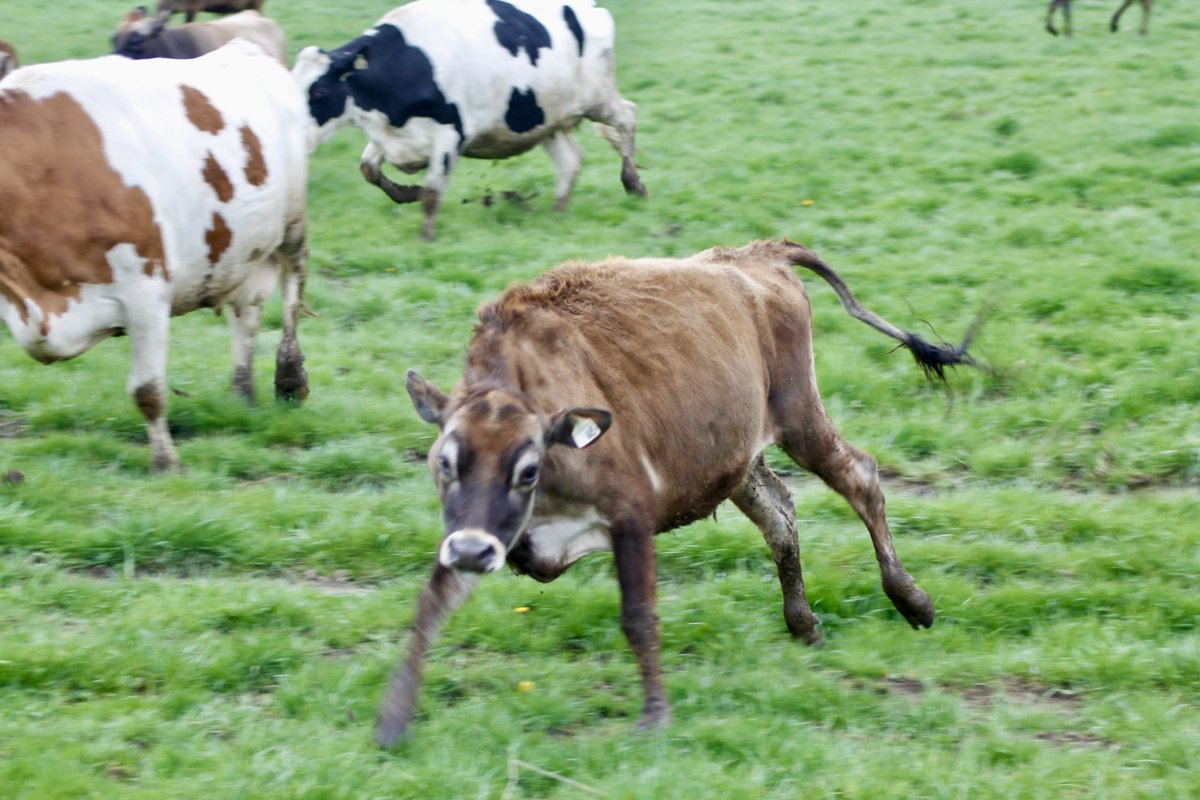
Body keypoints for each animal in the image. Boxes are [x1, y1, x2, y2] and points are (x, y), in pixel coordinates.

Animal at [0, 41, 310, 471]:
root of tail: (244, 48)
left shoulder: (146, 289)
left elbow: (147, 391)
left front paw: (167, 464)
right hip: (241, 247)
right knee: (245, 317)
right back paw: (242, 394)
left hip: (293, 224)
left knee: (293, 293)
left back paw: (290, 378)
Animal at [292, 0, 648, 241]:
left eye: (319, 90)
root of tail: (591, 7)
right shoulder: (393, 130)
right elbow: (369, 169)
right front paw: (408, 193)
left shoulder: (451, 134)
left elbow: (433, 194)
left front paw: (426, 237)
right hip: (547, 118)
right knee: (571, 160)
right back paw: (558, 209)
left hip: (597, 97)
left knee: (628, 116)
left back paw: (633, 183)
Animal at [375, 239, 977, 745]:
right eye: (444, 462)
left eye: (527, 469)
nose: (471, 551)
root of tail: (758, 255)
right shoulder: (478, 534)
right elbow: (428, 608)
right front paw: (393, 719)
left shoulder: (630, 518)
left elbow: (639, 616)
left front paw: (655, 717)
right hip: (741, 461)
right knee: (781, 515)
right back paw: (804, 624)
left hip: (801, 420)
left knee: (862, 480)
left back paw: (913, 601)